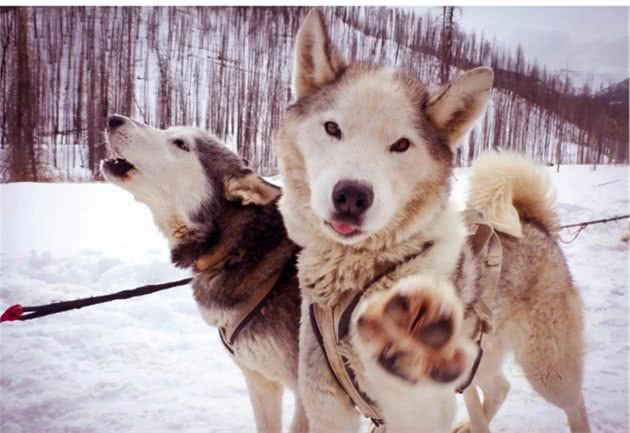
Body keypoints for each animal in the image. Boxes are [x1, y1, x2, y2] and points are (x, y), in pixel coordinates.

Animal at [276, 9, 592, 432]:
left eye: (401, 145)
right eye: (332, 128)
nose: (351, 196)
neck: (368, 278)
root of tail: (535, 223)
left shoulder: (416, 411)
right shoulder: (328, 408)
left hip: (549, 370)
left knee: (574, 403)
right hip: (479, 360)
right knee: (498, 387)